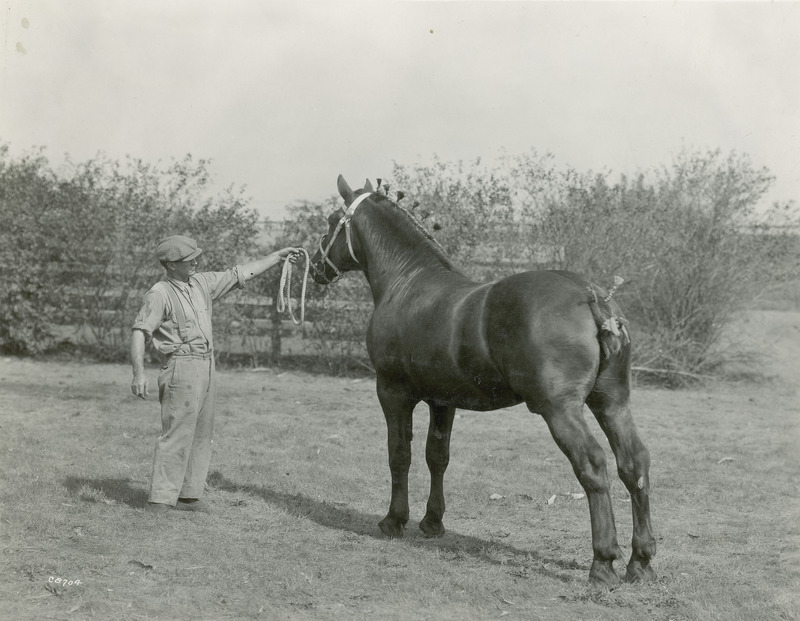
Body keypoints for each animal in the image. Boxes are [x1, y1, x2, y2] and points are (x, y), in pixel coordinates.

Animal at [308, 176, 656, 588]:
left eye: (332, 220)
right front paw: (432, 522)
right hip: (611, 402)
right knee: (633, 463)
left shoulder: (393, 393)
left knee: (593, 465)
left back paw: (603, 562)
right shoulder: (443, 401)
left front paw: (394, 521)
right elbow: (437, 456)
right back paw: (641, 561)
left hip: (561, 409)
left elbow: (400, 454)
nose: (315, 267)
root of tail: (593, 297)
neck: (407, 282)